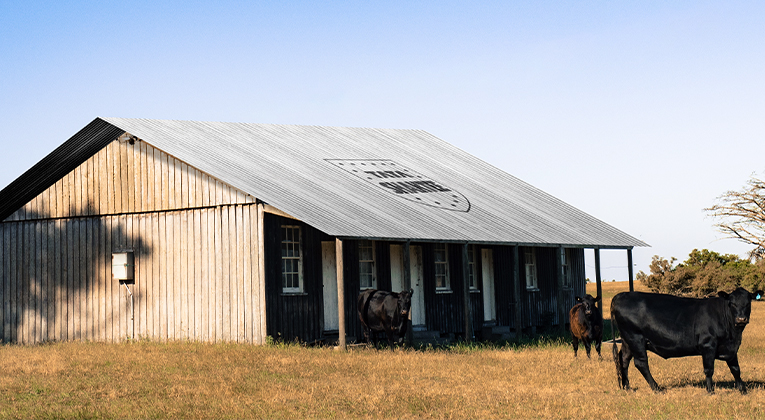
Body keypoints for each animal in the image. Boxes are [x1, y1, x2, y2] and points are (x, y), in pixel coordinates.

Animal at [608, 288, 760, 392]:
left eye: (748, 303)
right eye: (732, 303)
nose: (741, 319)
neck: (733, 335)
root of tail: (620, 295)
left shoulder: (730, 349)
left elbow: (736, 369)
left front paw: (743, 390)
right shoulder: (708, 345)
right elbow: (709, 369)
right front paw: (710, 391)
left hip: (627, 341)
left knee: (624, 360)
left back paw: (627, 387)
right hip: (636, 338)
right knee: (641, 363)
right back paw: (657, 388)